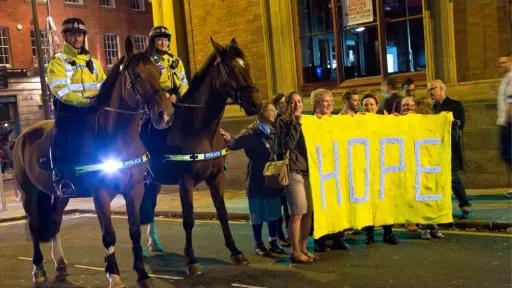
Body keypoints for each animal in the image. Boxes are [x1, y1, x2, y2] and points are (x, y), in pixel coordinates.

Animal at [13, 37, 174, 288]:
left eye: (158, 73)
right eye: (136, 75)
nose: (165, 115)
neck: (116, 137)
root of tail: (23, 136)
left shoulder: (135, 190)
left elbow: (134, 231)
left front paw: (141, 273)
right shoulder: (101, 194)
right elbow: (109, 235)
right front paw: (114, 275)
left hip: (60, 195)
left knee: (55, 221)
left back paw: (60, 263)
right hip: (29, 193)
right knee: (34, 225)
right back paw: (38, 269)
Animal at [140, 37, 260, 274]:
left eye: (248, 65)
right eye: (230, 69)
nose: (255, 104)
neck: (199, 128)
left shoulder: (216, 178)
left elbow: (222, 213)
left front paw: (235, 251)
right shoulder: (185, 181)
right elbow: (188, 219)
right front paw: (191, 260)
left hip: (154, 181)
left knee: (148, 207)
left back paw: (153, 243)